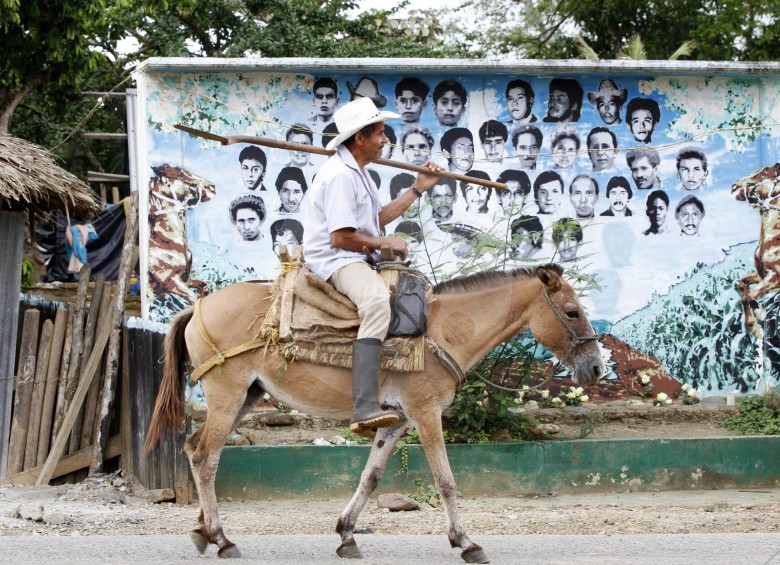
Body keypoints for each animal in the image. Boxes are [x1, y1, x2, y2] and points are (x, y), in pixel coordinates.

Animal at [148, 163, 215, 312]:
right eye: (180, 174)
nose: (212, 187)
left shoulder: (186, 280)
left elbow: (205, 288)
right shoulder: (173, 283)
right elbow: (194, 300)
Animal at [148, 264, 608, 560]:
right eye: (571, 312)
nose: (596, 369)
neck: (443, 331)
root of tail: (198, 307)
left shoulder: (396, 420)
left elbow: (370, 477)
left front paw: (346, 534)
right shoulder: (425, 413)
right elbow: (446, 481)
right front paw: (465, 542)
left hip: (246, 397)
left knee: (193, 448)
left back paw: (203, 530)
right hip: (228, 396)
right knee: (206, 457)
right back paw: (222, 539)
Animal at [732, 163, 780, 340]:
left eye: (765, 171)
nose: (734, 187)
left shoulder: (775, 278)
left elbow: (747, 295)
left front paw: (756, 329)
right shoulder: (761, 275)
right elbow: (741, 284)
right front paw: (760, 312)